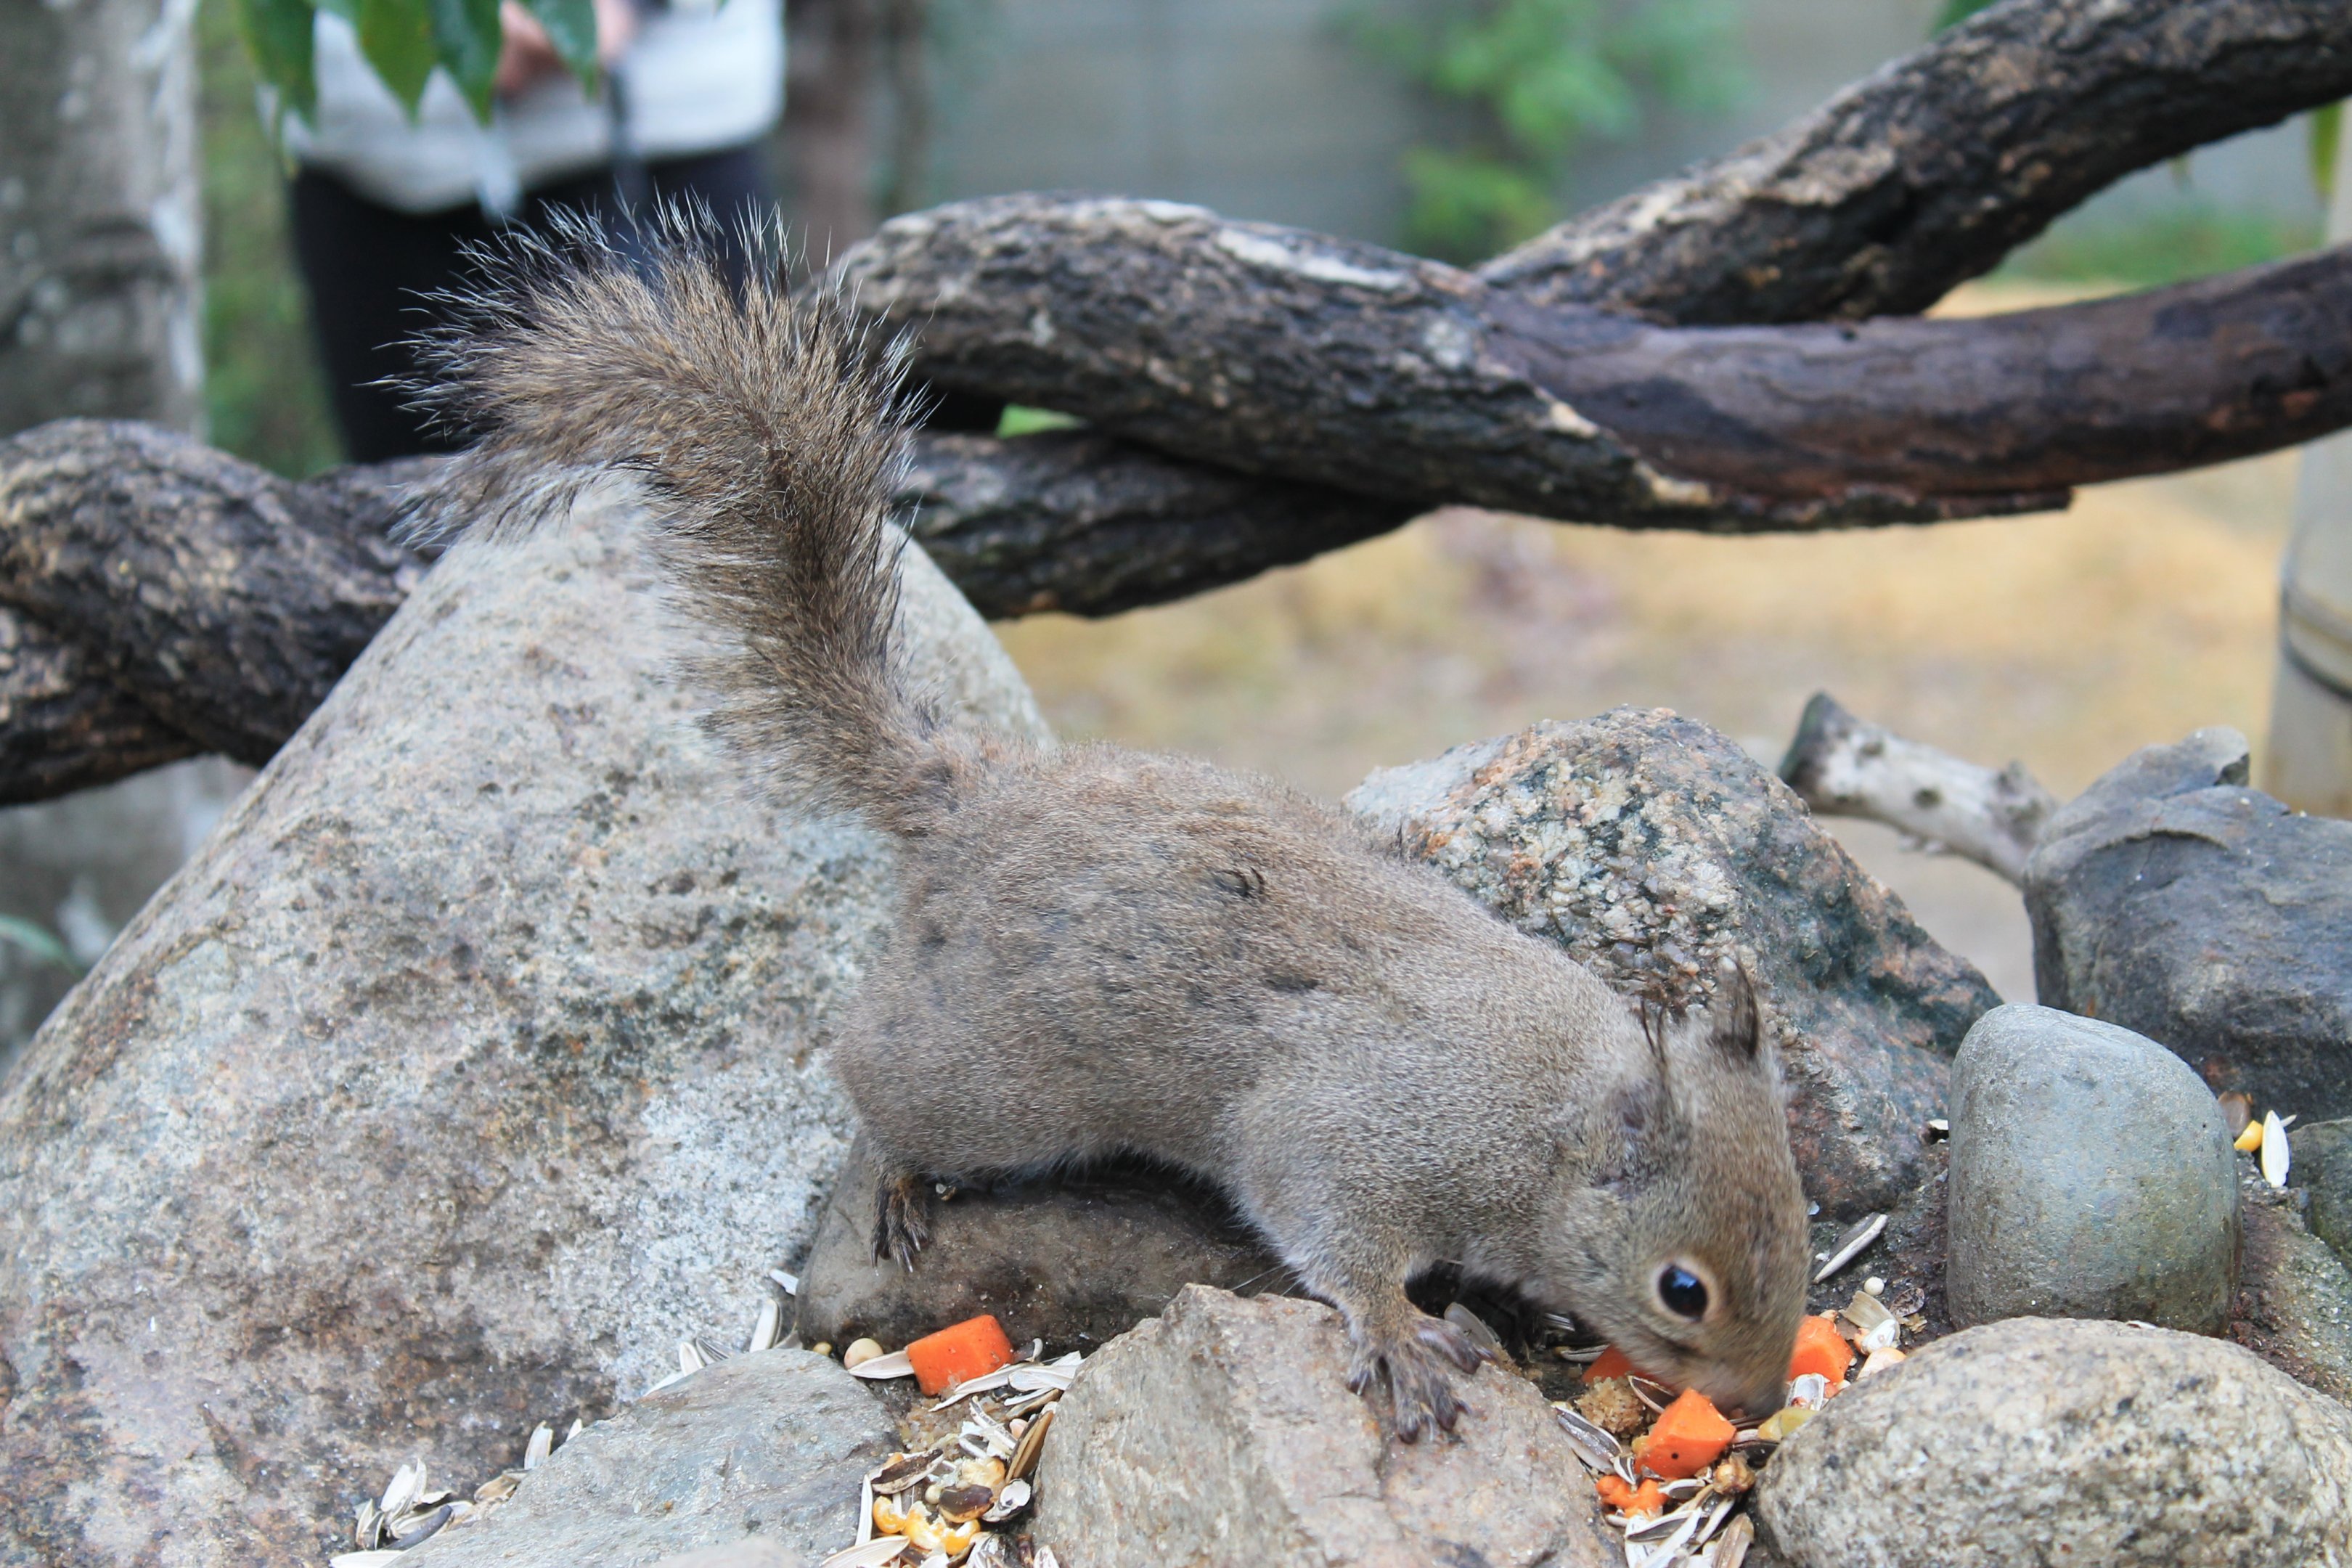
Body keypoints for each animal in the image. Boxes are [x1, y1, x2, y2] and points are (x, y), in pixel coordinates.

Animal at [407, 211, 1811, 1439]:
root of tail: (969, 795)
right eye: (1684, 1289)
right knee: (875, 1077)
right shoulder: (1354, 1134)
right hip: (988, 1085)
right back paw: (903, 1177)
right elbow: (1333, 1234)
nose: (1751, 1402)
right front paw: (1401, 1336)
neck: (1546, 1118)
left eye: (1801, 1227)